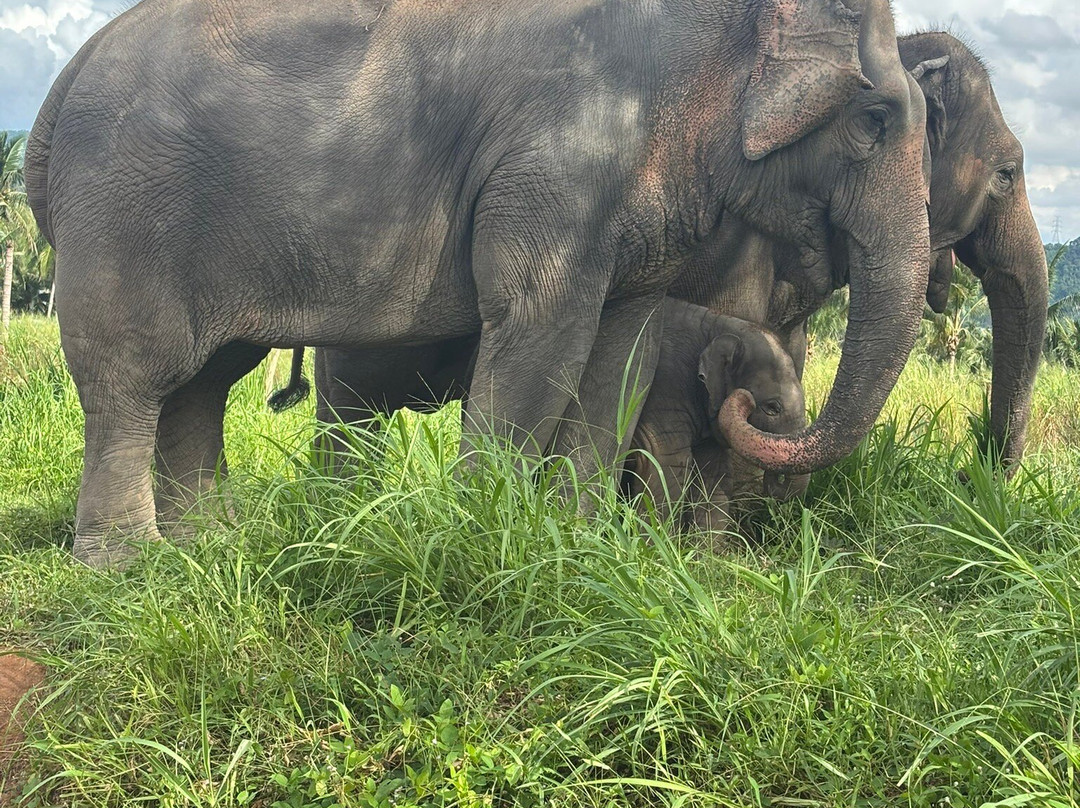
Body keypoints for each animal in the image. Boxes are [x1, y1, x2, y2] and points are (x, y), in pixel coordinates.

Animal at [26, 0, 931, 566]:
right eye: (874, 121)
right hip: (125, 213)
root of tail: (63, 79)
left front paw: (572, 543)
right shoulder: (560, 161)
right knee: (132, 375)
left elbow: (616, 354)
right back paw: (127, 567)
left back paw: (210, 544)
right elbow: (539, 327)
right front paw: (477, 534)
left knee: (207, 380)